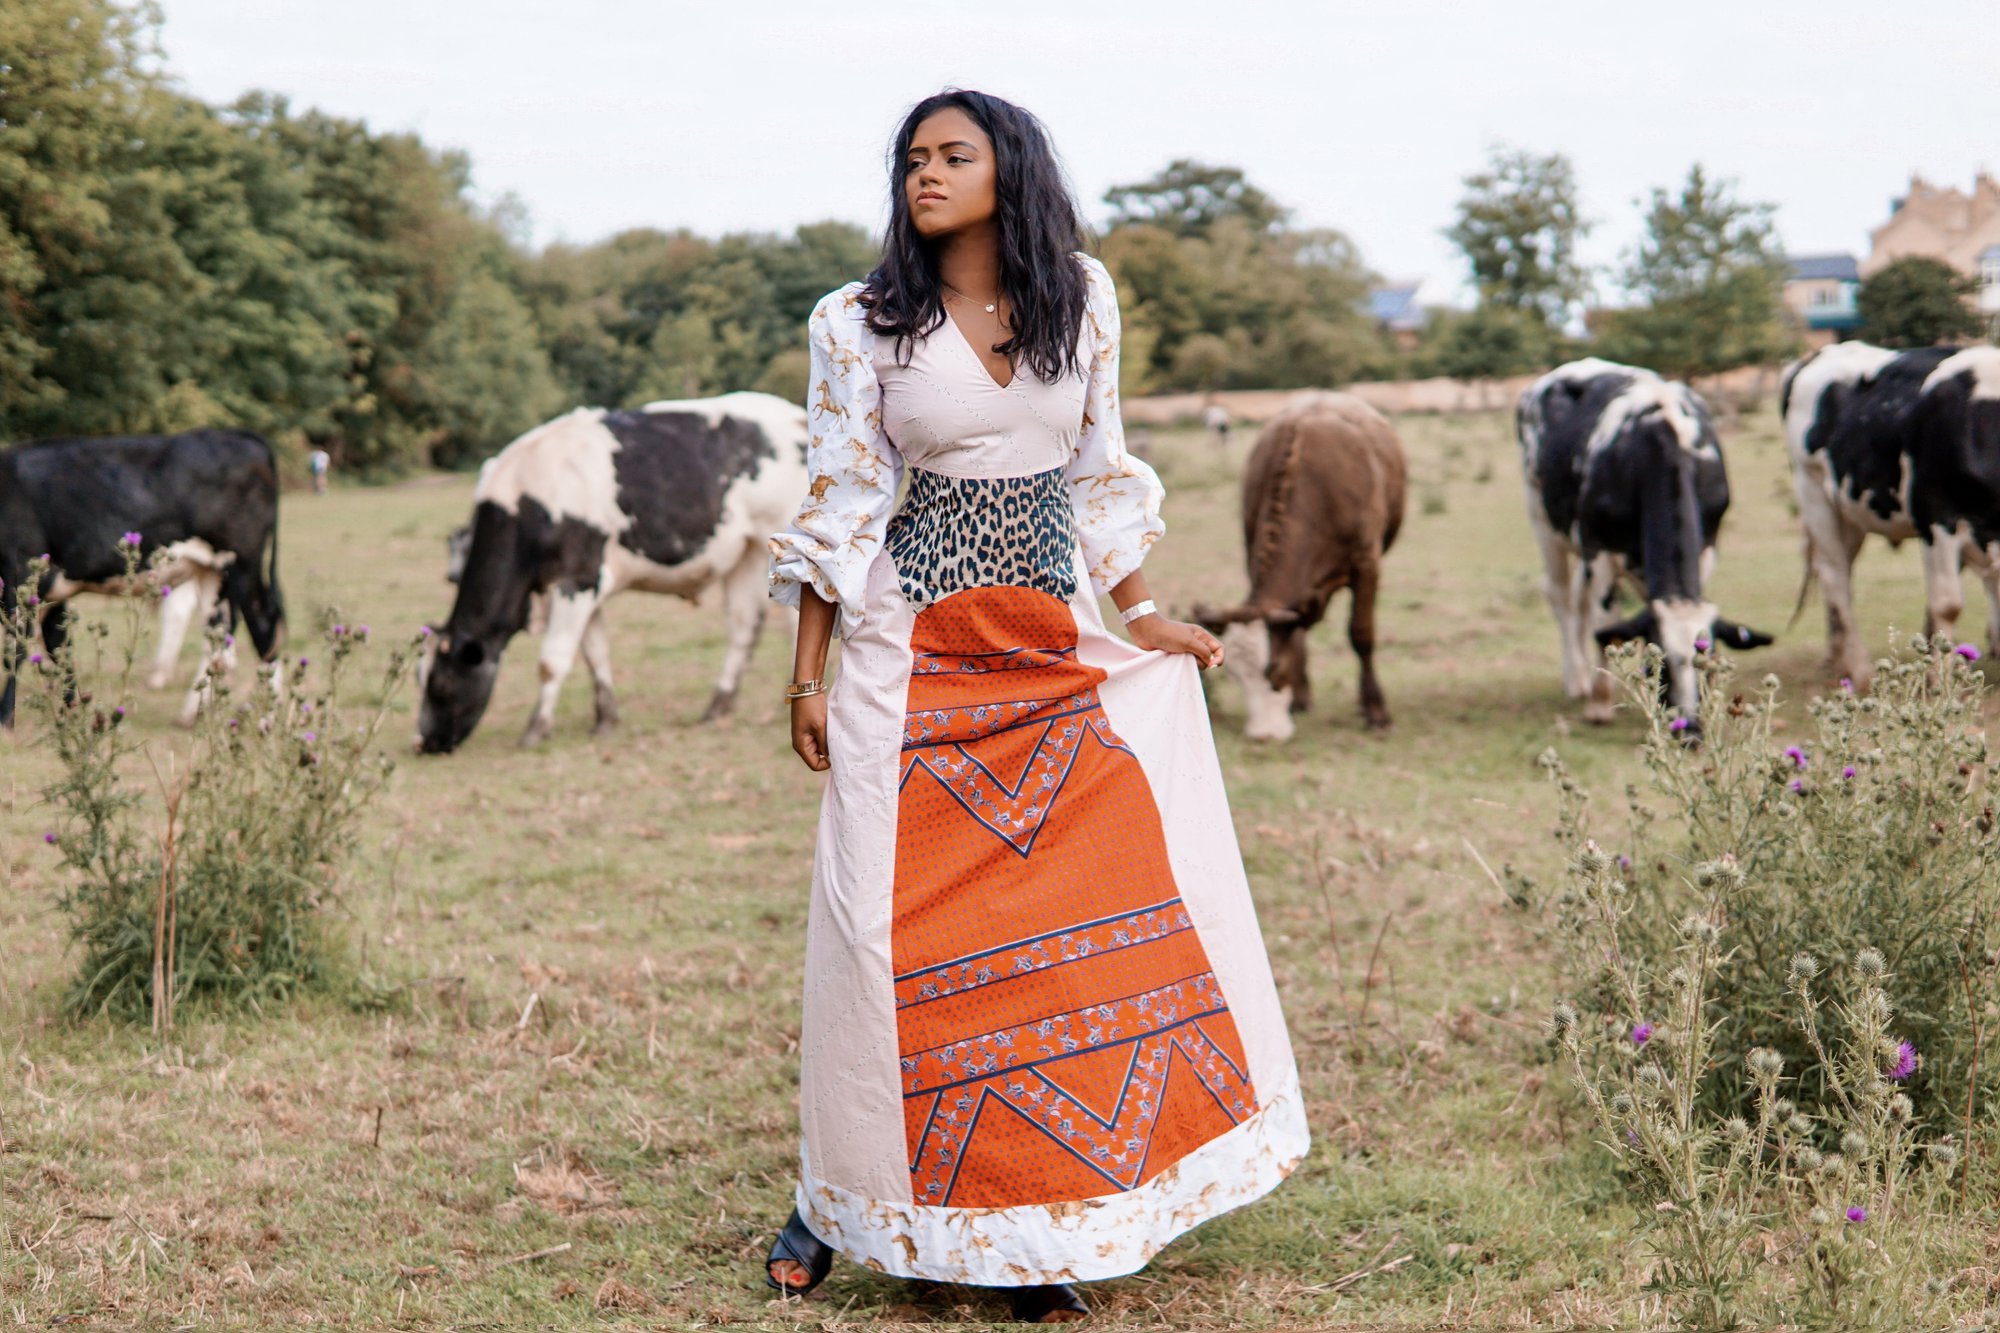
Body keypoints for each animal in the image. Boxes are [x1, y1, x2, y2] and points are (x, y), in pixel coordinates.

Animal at [1, 430, 286, 728]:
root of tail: (239, 435)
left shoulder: (20, 572)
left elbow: (16, 648)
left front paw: (5, 720)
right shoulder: (52, 591)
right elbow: (59, 649)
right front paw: (72, 715)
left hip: (243, 563)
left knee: (264, 626)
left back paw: (267, 719)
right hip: (214, 572)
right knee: (218, 637)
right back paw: (191, 714)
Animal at [418, 390, 808, 752]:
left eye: (440, 684)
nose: (423, 743)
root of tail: (794, 415)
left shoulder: (577, 580)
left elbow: (552, 660)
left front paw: (535, 730)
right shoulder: (583, 587)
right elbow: (595, 653)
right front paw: (605, 719)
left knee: (791, 623)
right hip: (745, 553)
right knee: (744, 625)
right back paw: (717, 707)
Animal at [1192, 390, 1416, 740]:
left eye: (1274, 672)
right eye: (1236, 677)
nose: (1264, 735)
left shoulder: (1367, 564)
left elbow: (1361, 634)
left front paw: (1376, 711)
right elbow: (1296, 636)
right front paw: (1299, 698)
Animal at [1512, 352, 1768, 732]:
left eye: (1709, 661)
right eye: (1662, 661)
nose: (1690, 729)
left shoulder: (1707, 546)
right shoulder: (1600, 551)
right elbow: (1608, 627)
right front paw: (1600, 704)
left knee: (1579, 601)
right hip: (1543, 520)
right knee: (1561, 596)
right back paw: (1577, 680)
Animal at [1784, 340, 2000, 684]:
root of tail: (1819, 354)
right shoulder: (1935, 514)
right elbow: (1947, 605)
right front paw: (1937, 680)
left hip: (1849, 512)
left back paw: (1838, 660)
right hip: (1813, 492)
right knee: (1835, 575)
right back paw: (1860, 670)